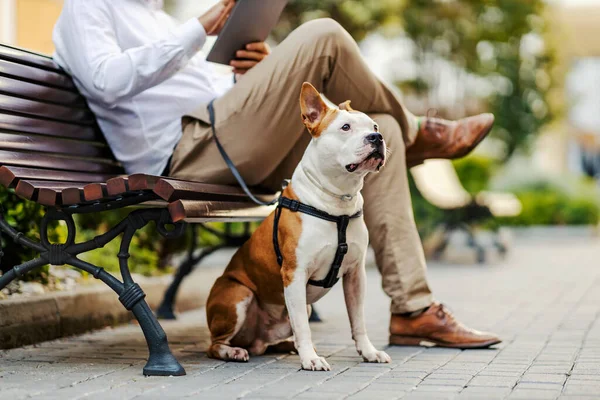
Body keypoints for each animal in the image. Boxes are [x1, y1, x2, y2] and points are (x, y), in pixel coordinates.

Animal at [206, 82, 392, 372]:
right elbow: (304, 328)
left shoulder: (355, 275)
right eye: (346, 127)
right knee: (214, 344)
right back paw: (233, 351)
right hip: (237, 294)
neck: (338, 202)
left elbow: (358, 320)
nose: (377, 138)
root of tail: (255, 339)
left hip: (294, 310)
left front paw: (369, 352)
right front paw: (311, 359)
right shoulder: (295, 274)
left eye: (374, 126)